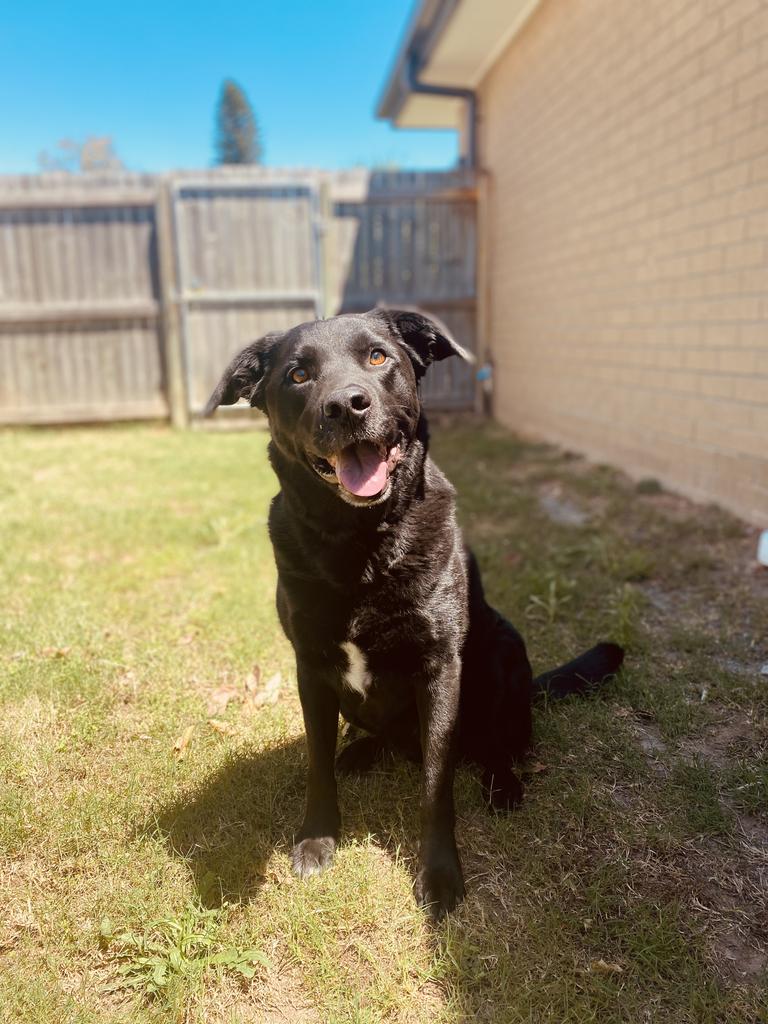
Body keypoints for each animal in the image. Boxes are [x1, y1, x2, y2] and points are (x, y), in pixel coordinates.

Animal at [204, 309, 626, 921]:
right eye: (298, 374)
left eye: (378, 356)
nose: (346, 405)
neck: (360, 545)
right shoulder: (310, 667)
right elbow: (316, 761)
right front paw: (317, 837)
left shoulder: (439, 667)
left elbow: (436, 782)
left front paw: (440, 874)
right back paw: (360, 752)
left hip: (505, 650)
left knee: (501, 744)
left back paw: (503, 784)